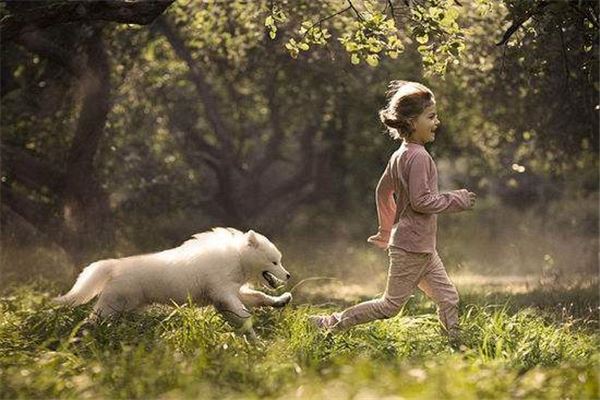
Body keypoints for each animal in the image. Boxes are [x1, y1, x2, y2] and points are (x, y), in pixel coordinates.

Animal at [54, 227, 292, 336]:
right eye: (274, 262)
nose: (289, 275)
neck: (238, 258)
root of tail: (115, 265)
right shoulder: (224, 294)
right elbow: (244, 315)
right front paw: (254, 338)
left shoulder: (231, 292)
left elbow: (259, 297)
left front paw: (281, 300)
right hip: (112, 305)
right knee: (90, 320)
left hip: (124, 308)